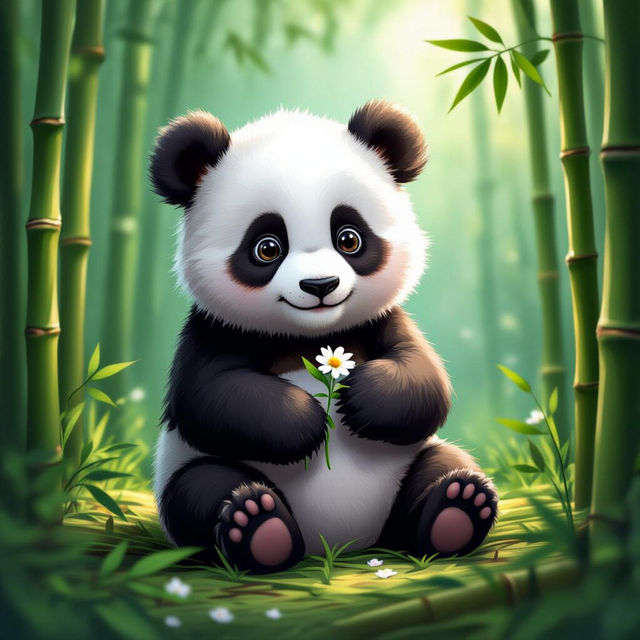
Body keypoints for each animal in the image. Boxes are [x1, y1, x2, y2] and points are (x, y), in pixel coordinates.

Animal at [151, 100, 498, 574]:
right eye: (267, 247)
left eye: (348, 238)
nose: (320, 285)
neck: (309, 337)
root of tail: (339, 542)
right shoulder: (214, 328)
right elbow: (208, 395)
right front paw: (309, 420)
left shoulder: (382, 321)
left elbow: (425, 379)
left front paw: (358, 398)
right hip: (189, 472)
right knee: (200, 488)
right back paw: (259, 527)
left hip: (411, 466)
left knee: (442, 463)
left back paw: (457, 508)